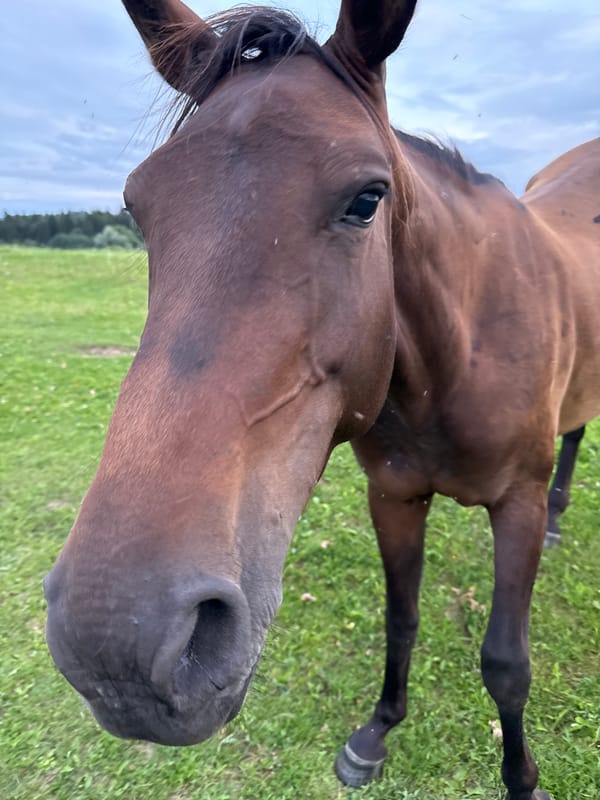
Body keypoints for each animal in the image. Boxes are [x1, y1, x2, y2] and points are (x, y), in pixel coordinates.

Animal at [44, 2, 600, 798]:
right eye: (138, 207)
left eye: (367, 199)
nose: (115, 642)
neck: (459, 356)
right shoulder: (393, 496)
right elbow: (402, 619)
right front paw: (376, 734)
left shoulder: (515, 503)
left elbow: (506, 662)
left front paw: (522, 779)